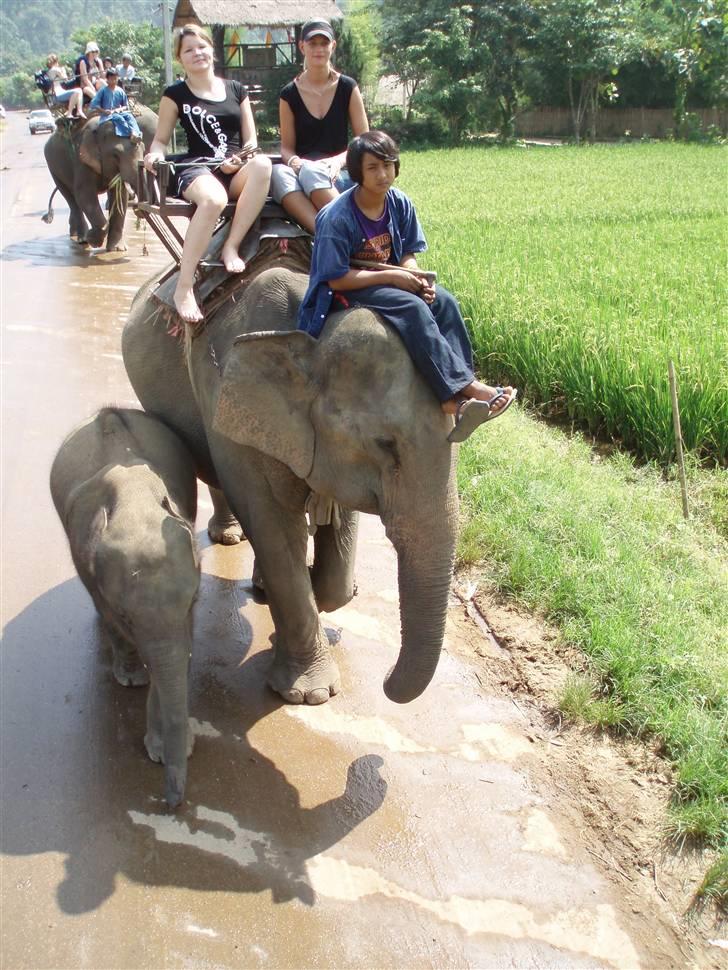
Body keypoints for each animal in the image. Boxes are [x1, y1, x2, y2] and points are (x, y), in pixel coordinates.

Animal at [43, 105, 157, 250]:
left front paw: (117, 249)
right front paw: (94, 240)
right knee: (70, 197)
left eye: (143, 149)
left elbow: (120, 196)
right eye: (116, 155)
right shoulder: (81, 160)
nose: (139, 209)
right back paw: (82, 239)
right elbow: (84, 195)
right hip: (53, 167)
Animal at [50, 404, 200, 804]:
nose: (172, 804)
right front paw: (133, 680)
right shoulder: (92, 571)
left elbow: (178, 648)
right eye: (126, 616)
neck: (135, 502)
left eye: (192, 602)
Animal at [122, 255, 458, 712]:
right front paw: (309, 694)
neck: (310, 331)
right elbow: (272, 521)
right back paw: (230, 539)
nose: (387, 681)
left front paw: (327, 587)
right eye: (384, 444)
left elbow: (338, 524)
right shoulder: (233, 398)